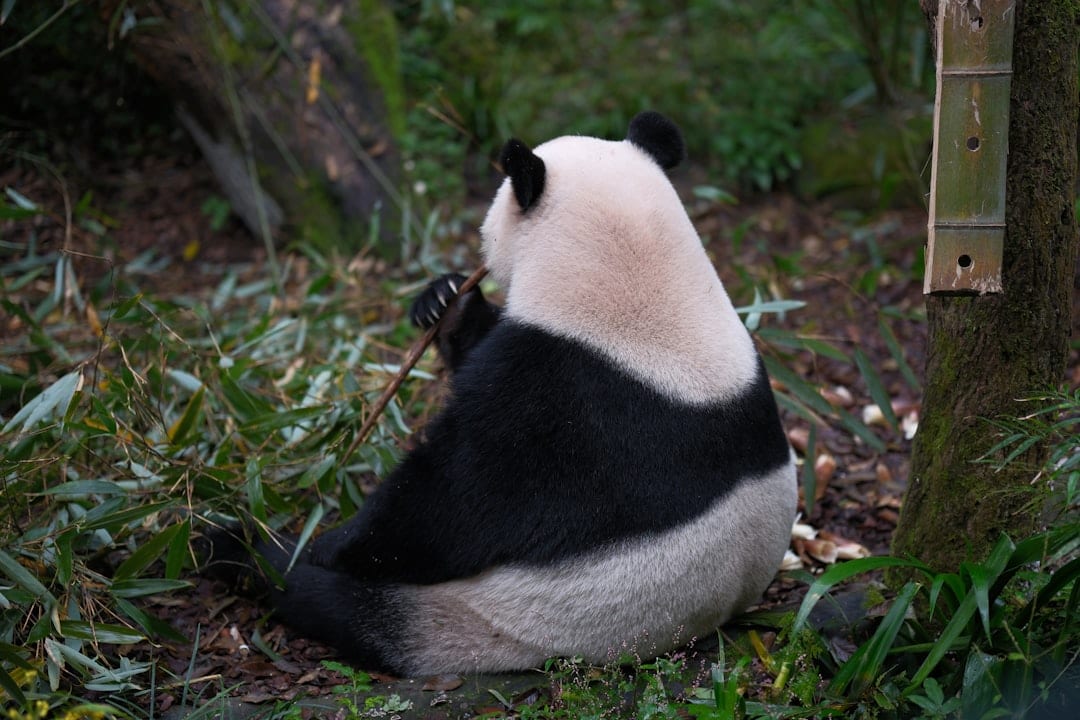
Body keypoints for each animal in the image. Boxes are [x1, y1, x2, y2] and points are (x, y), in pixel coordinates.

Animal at [210, 111, 797, 677]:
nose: (477, 246)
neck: (640, 284)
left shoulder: (561, 408)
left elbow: (450, 504)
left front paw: (329, 542)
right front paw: (445, 301)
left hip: (486, 613)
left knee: (333, 601)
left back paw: (241, 548)